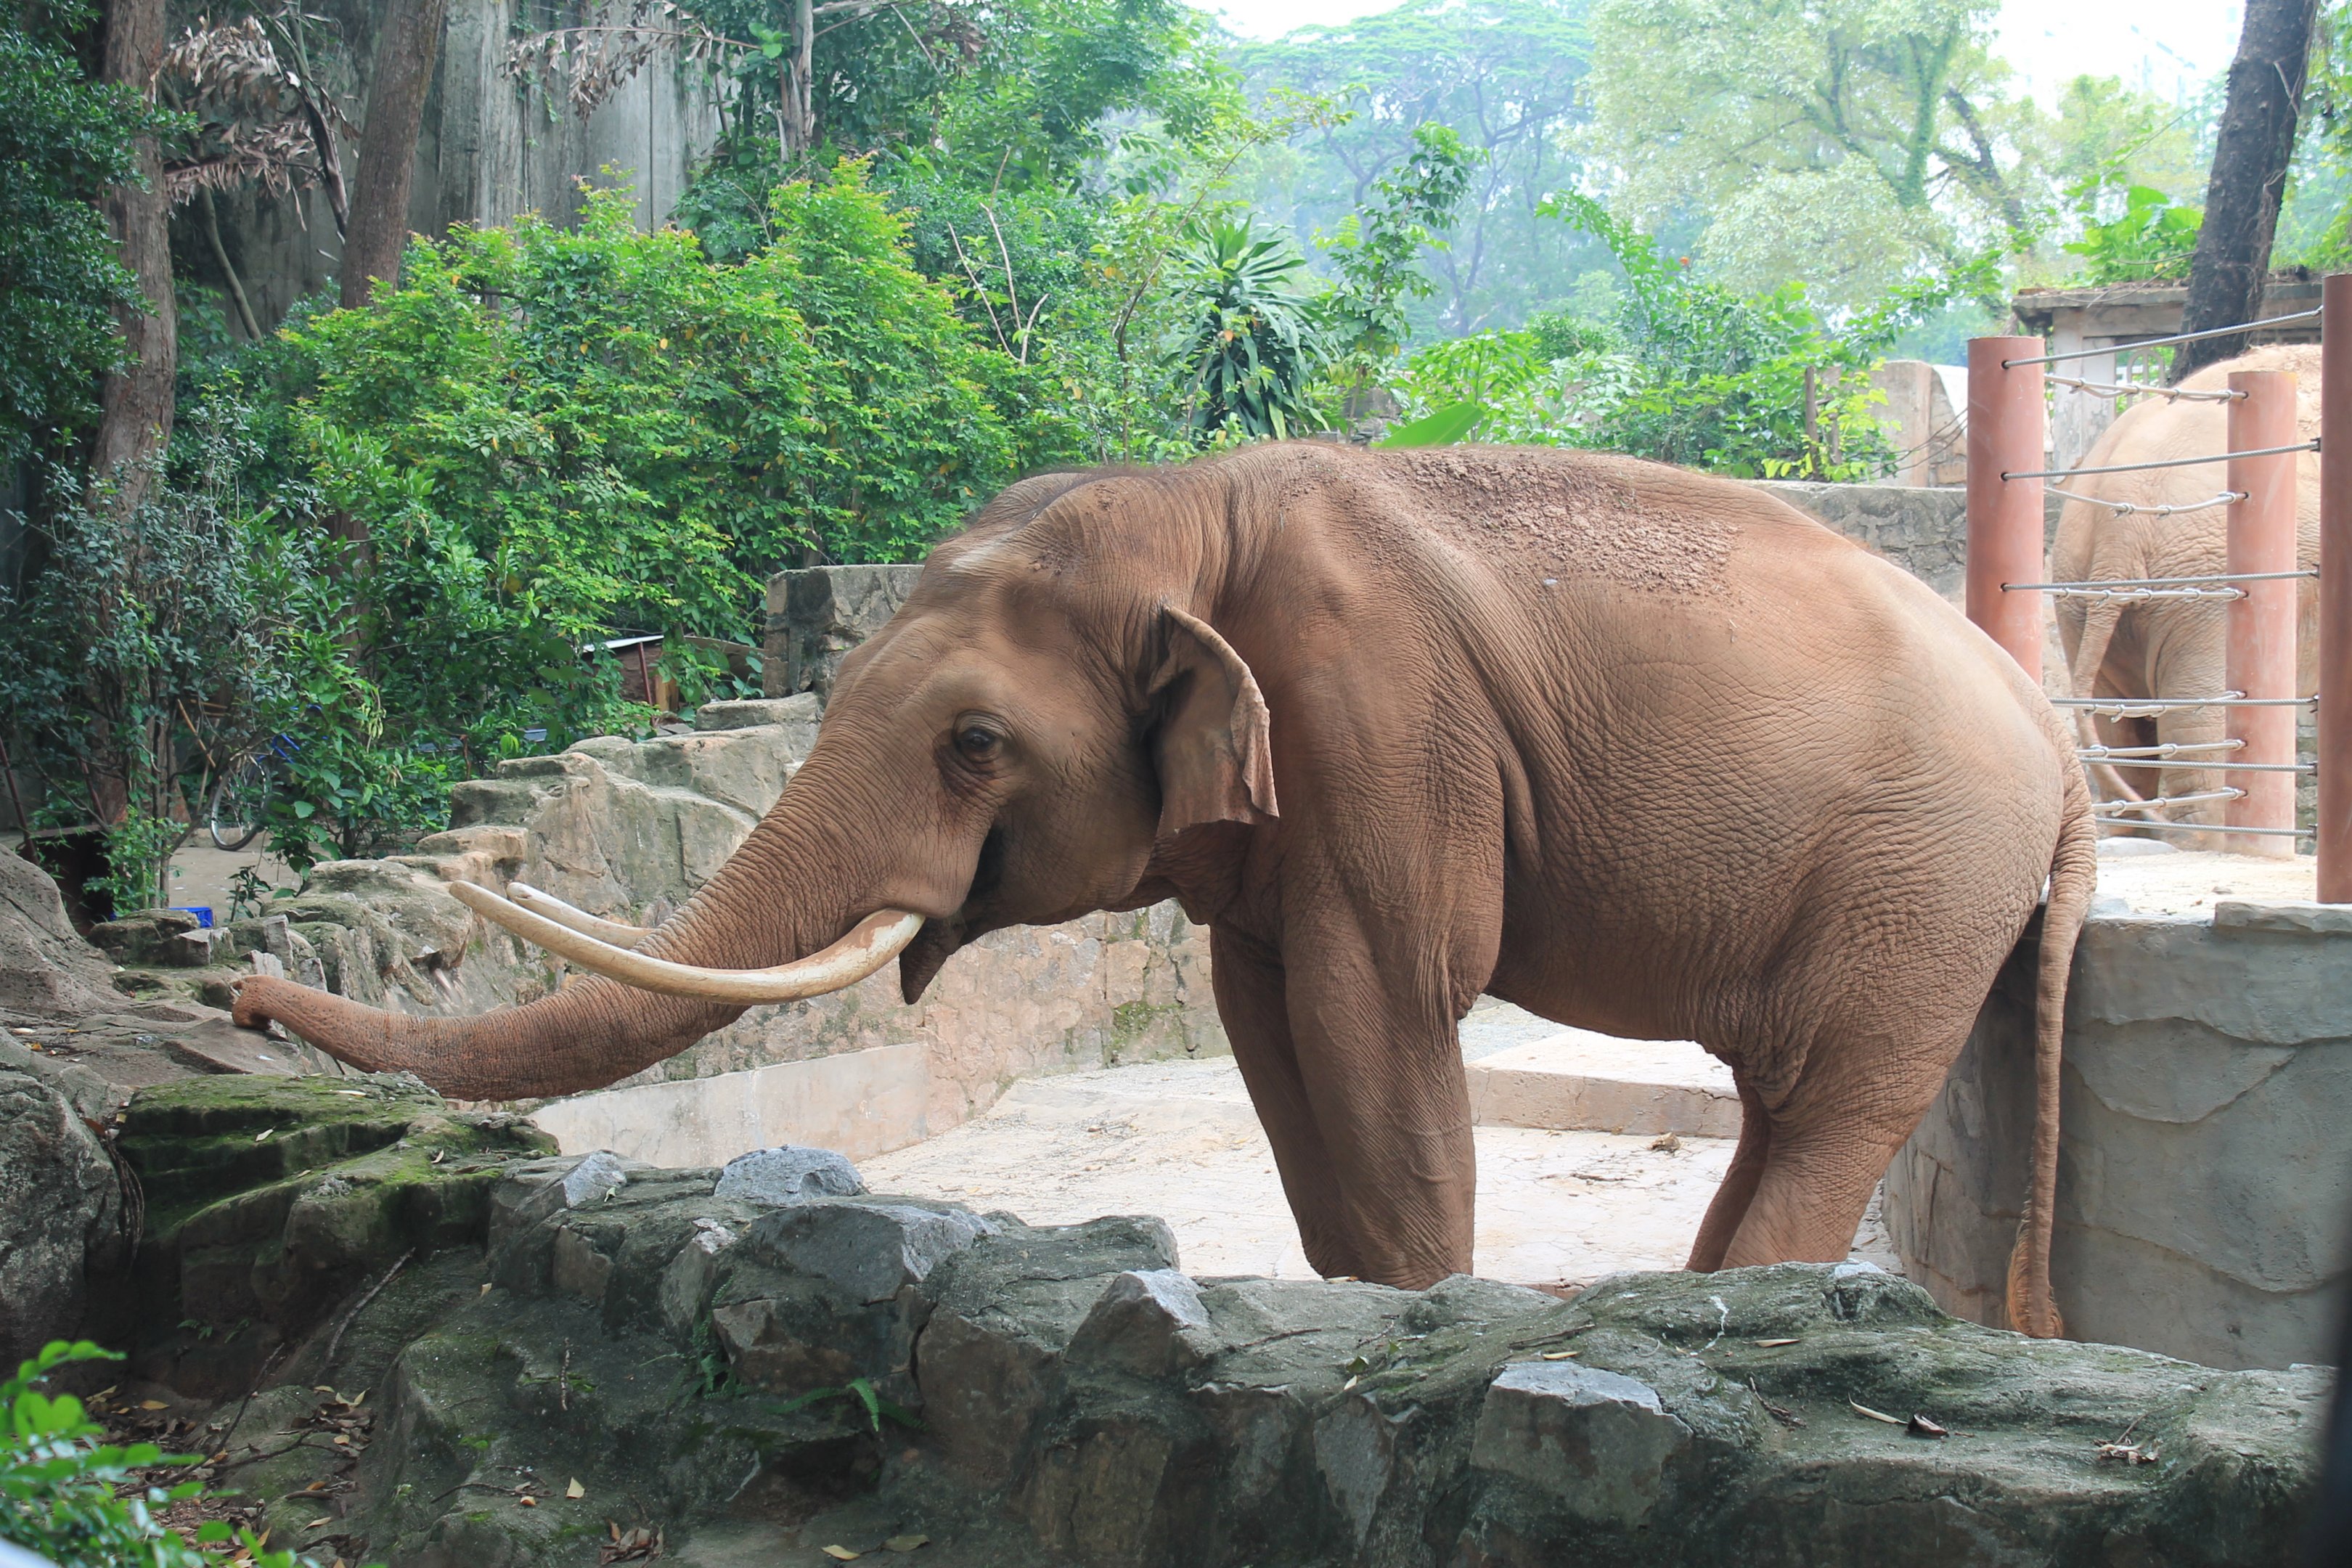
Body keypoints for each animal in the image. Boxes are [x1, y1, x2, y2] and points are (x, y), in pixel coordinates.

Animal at [235, 442, 2096, 1333]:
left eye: (974, 743)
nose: (243, 990)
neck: (1191, 510)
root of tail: (2061, 746)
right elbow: (1269, 1028)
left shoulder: (1385, 735)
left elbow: (1377, 1022)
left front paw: (1419, 1322)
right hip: (1929, 892)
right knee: (1795, 1108)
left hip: (1923, 880)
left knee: (1832, 1102)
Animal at [2052, 344, 2320, 846]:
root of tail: (2124, 512)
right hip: (2204, 594)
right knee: (2200, 725)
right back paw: (2206, 841)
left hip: (2077, 590)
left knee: (2117, 729)